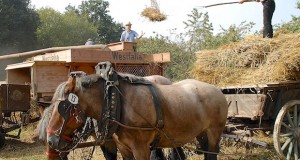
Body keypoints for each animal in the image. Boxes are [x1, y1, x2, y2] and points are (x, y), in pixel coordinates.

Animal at [45, 62, 227, 160]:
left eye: (63, 107)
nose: (51, 141)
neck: (115, 101)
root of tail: (219, 91)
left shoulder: (141, 148)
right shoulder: (124, 148)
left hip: (214, 132)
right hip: (200, 133)